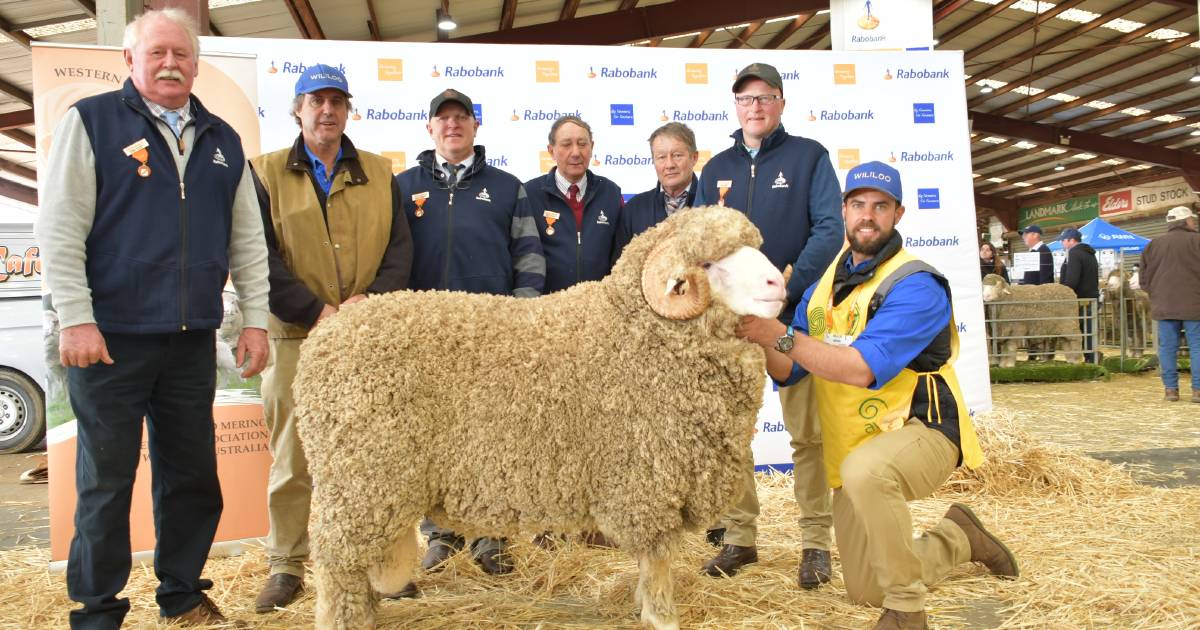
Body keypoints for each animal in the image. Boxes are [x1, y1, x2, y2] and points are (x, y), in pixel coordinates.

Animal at [294, 204, 787, 624]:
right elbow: (658, 569)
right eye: (708, 264)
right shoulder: (646, 487)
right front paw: (660, 617)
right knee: (338, 573)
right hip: (361, 484)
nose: (777, 286)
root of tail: (318, 344)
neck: (638, 334)